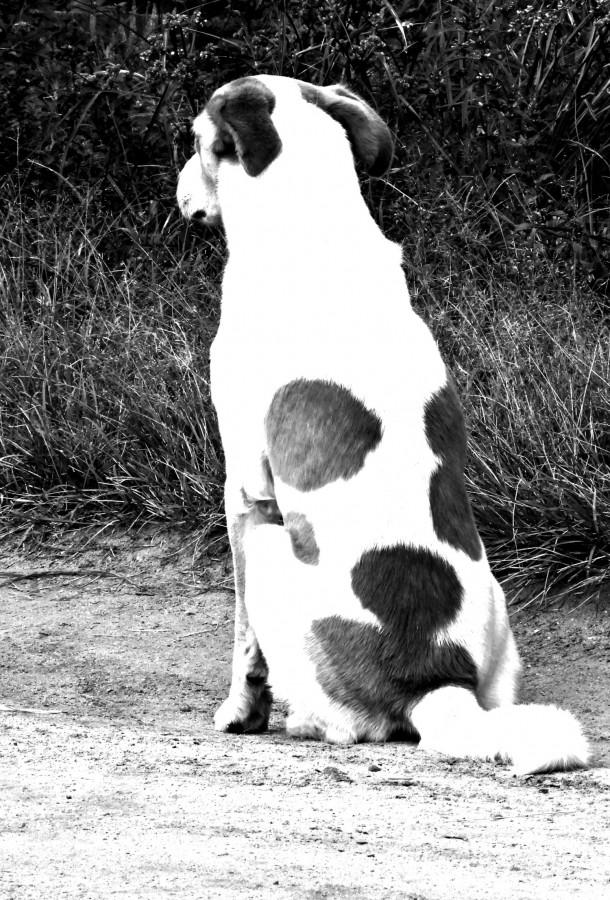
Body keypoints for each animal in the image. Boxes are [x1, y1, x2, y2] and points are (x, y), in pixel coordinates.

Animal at [177, 74, 588, 772]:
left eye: (198, 142)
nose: (178, 189)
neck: (313, 227)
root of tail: (436, 681)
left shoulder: (246, 489)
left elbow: (242, 639)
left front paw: (241, 710)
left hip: (268, 549)